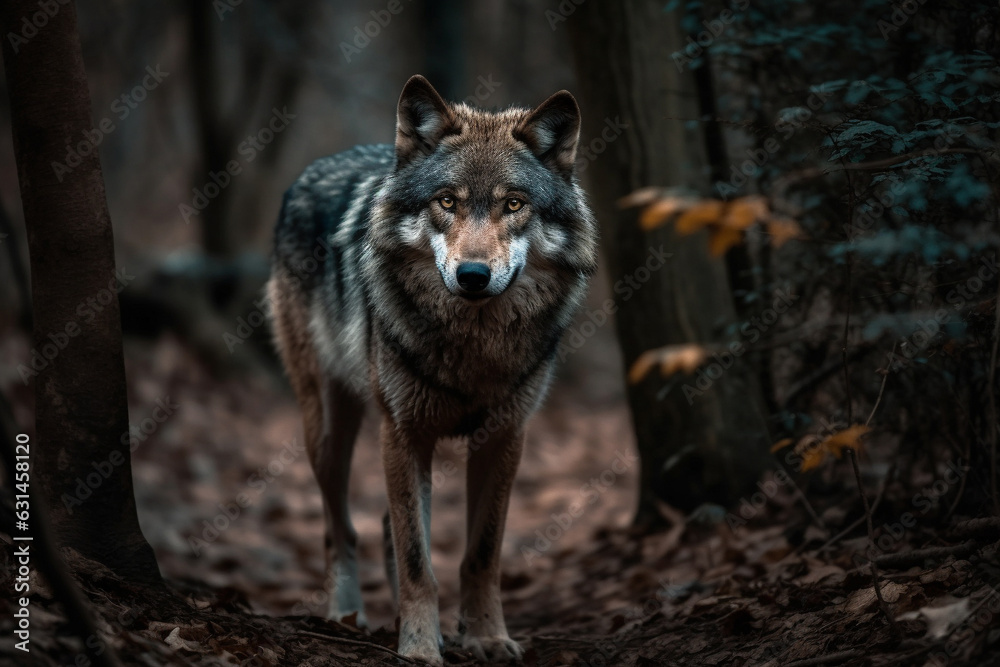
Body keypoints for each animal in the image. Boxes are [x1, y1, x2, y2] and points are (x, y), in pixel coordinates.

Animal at [267, 75, 597, 665]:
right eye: (447, 201)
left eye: (514, 204)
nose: (473, 275)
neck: (473, 346)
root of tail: (316, 164)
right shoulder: (403, 432)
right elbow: (419, 561)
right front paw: (419, 646)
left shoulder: (505, 437)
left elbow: (481, 554)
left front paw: (485, 636)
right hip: (327, 430)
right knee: (339, 527)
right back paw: (344, 615)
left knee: (382, 523)